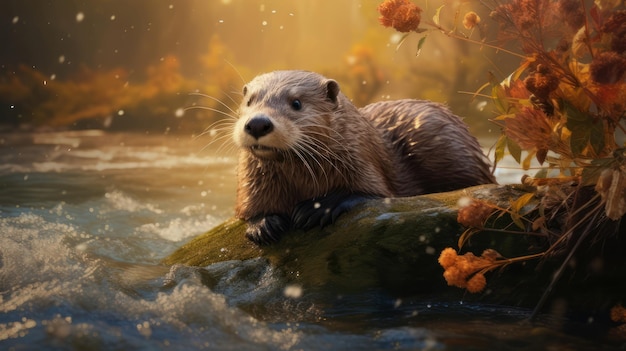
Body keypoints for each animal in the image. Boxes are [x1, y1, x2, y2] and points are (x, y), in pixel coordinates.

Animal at [230, 70, 492, 246]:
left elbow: (369, 191)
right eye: (250, 101)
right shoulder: (253, 181)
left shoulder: (363, 160)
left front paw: (318, 207)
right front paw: (263, 223)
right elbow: (249, 208)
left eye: (296, 103)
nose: (258, 123)